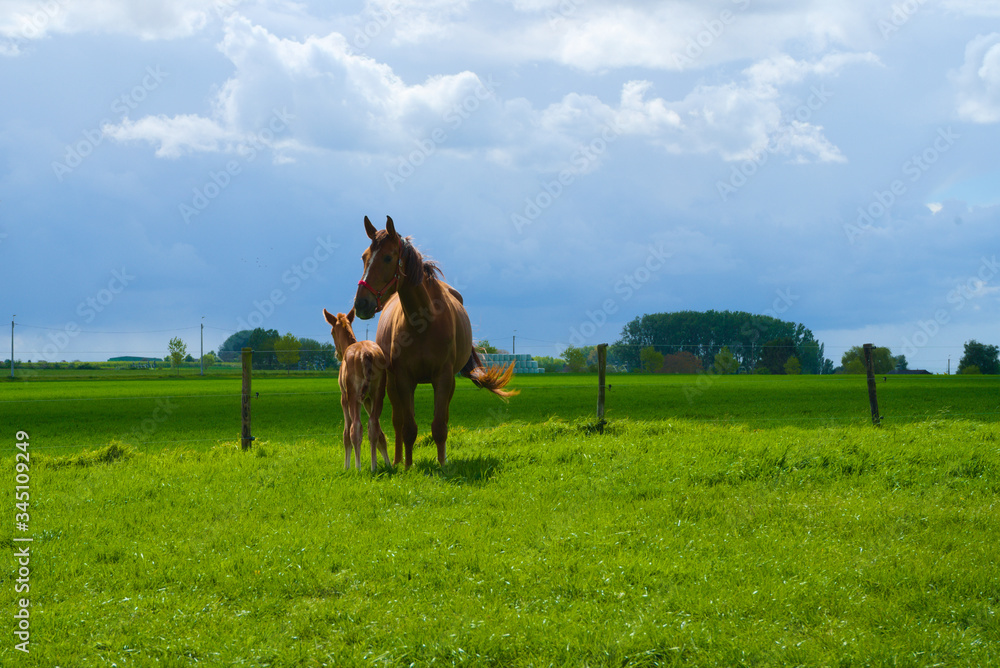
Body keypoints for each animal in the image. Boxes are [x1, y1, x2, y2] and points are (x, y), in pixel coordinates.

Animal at [326, 306, 392, 470]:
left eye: (332, 332)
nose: (337, 354)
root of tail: (366, 354)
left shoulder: (343, 397)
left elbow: (345, 433)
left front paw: (346, 466)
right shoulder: (368, 399)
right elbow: (380, 433)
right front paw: (388, 463)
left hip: (353, 395)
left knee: (355, 428)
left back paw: (358, 467)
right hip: (378, 393)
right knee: (373, 425)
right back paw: (374, 467)